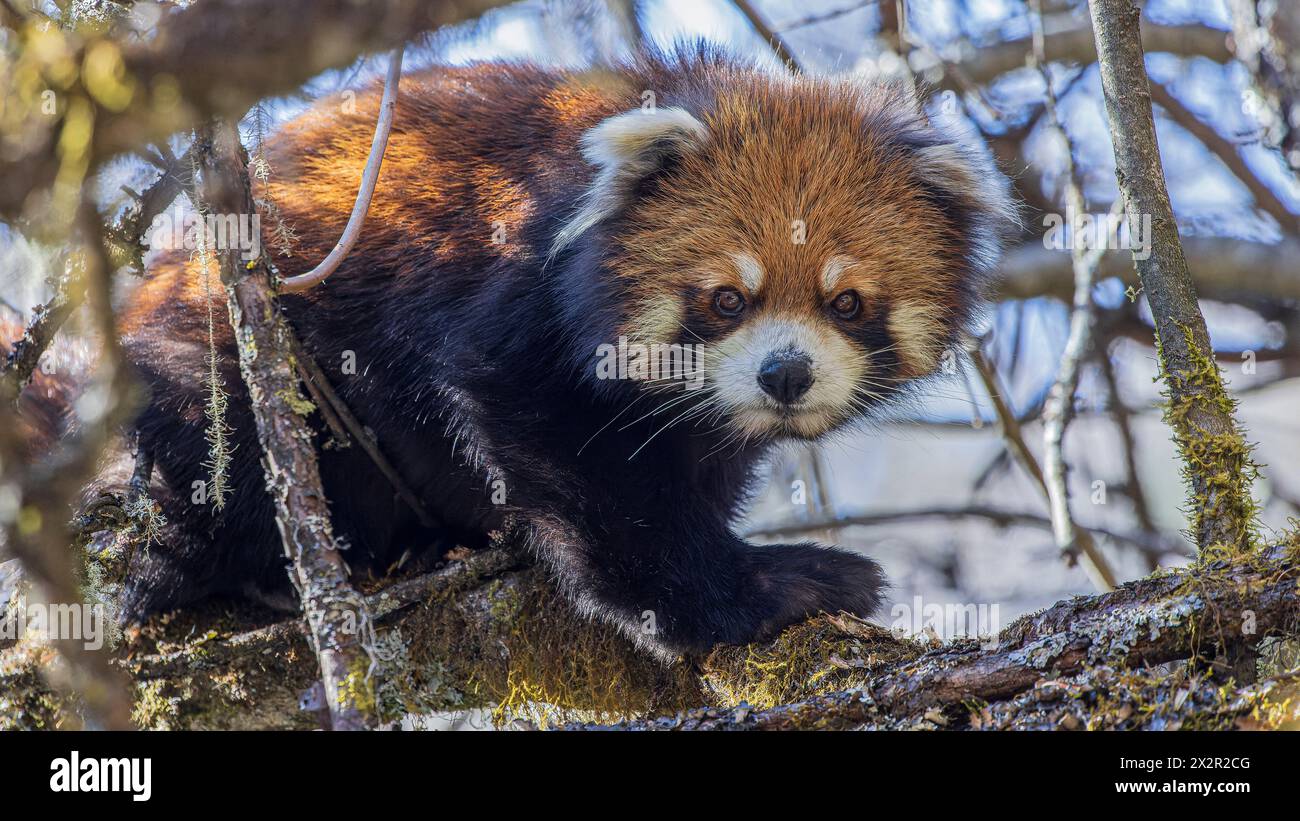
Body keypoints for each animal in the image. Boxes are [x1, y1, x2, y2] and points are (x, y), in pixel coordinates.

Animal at [101, 48, 1013, 657]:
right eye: (727, 298)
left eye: (846, 302)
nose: (785, 373)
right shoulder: (512, 296)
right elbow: (565, 452)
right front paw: (743, 594)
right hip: (233, 351)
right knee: (222, 449)